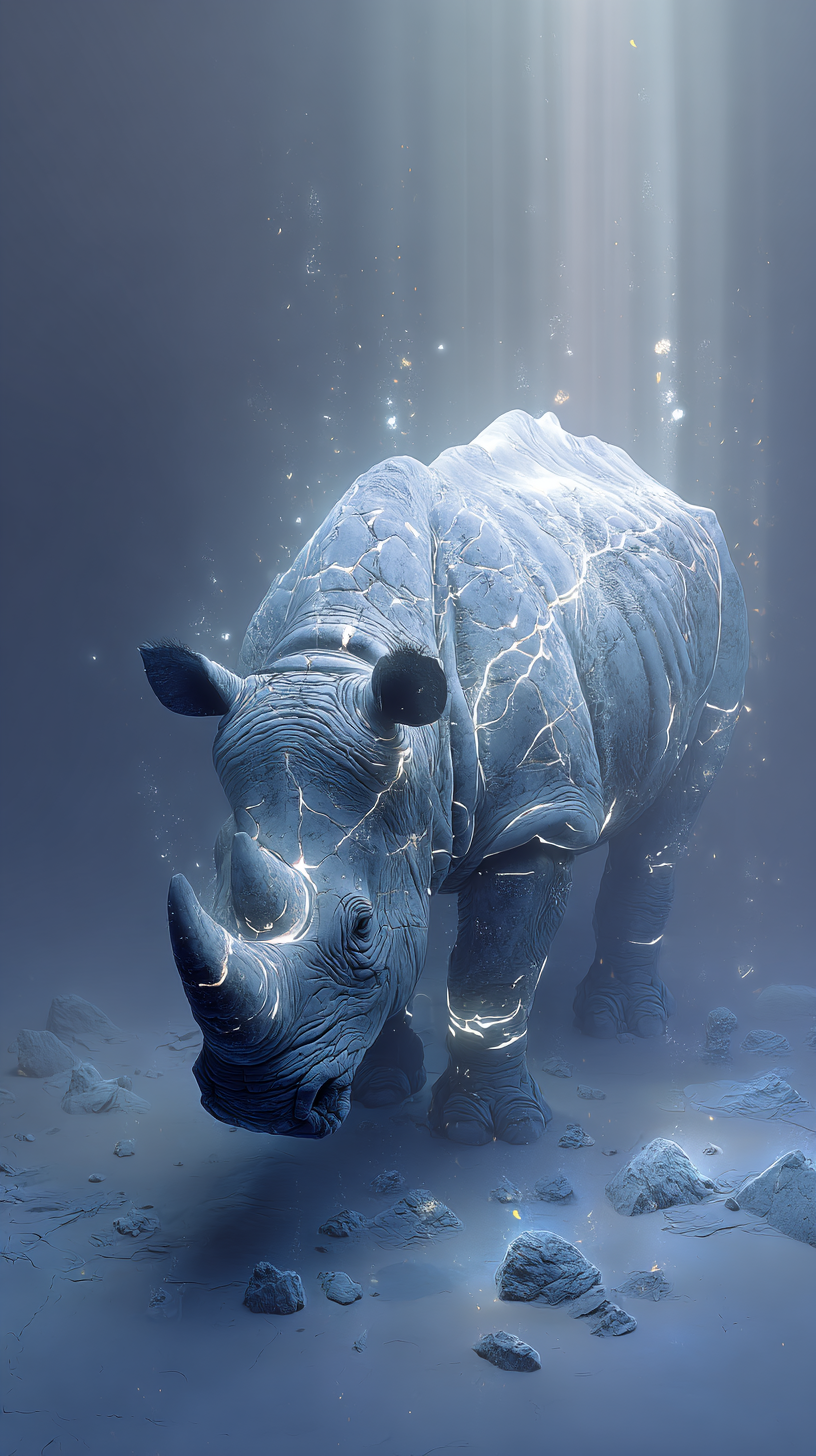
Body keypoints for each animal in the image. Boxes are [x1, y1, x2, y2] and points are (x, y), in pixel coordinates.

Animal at [141, 410, 748, 1146]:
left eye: (360, 927)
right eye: (215, 874)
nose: (249, 1105)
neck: (337, 654)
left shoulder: (536, 817)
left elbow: (493, 972)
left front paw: (484, 1130)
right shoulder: (389, 813)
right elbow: (405, 946)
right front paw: (381, 1091)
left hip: (721, 604)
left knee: (671, 814)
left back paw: (622, 1028)